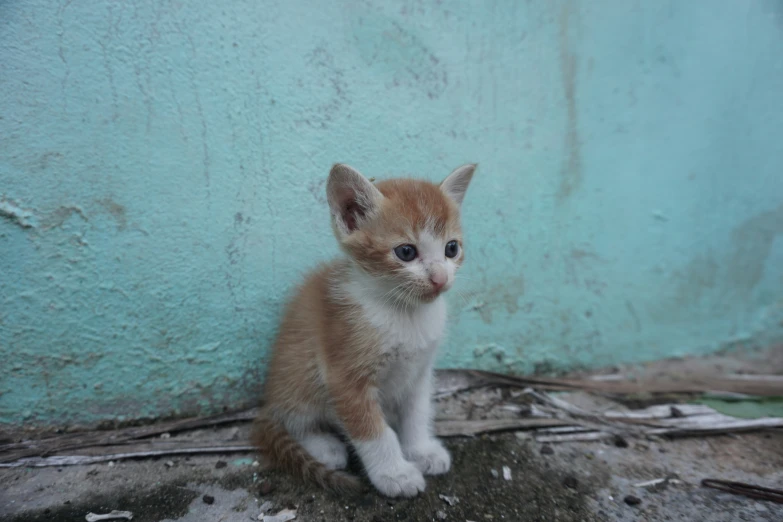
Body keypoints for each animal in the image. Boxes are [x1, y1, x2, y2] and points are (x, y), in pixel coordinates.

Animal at [254, 162, 478, 496]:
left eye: (451, 248)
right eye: (406, 252)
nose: (440, 278)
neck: (405, 313)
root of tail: (269, 402)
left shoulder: (419, 371)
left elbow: (417, 413)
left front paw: (421, 450)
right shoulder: (344, 375)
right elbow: (374, 431)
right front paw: (395, 474)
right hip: (298, 370)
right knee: (294, 419)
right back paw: (322, 446)